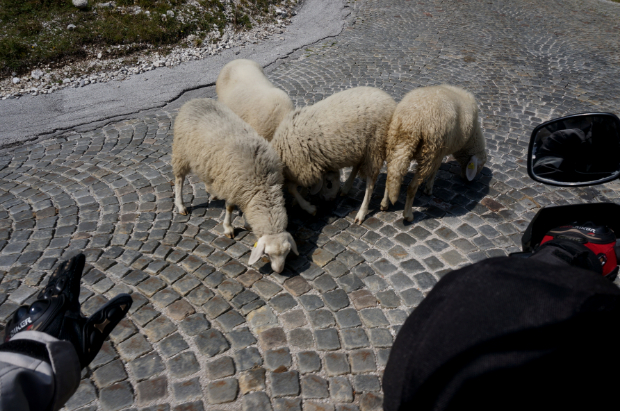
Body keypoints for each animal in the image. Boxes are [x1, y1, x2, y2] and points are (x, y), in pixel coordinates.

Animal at [173, 98, 300, 276]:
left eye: (287, 252)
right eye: (267, 253)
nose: (279, 271)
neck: (261, 185)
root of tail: (194, 100)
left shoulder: (243, 190)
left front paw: (246, 222)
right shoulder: (232, 185)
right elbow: (229, 208)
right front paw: (228, 228)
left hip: (205, 159)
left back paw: (211, 191)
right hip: (181, 152)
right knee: (179, 180)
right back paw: (181, 206)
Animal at [272, 85, 398, 224]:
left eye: (329, 184)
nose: (331, 199)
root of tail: (392, 102)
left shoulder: (302, 167)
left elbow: (292, 188)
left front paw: (309, 207)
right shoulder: (308, 169)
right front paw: (301, 199)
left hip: (375, 146)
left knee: (371, 182)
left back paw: (365, 211)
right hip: (365, 148)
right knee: (365, 167)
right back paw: (353, 190)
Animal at [378, 84, 490, 224]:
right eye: (479, 165)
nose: (467, 180)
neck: (470, 139)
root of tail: (412, 122)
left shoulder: (439, 152)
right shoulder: (439, 153)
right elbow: (435, 171)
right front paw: (429, 189)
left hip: (394, 142)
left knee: (391, 175)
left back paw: (384, 204)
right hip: (430, 152)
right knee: (412, 187)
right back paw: (408, 215)